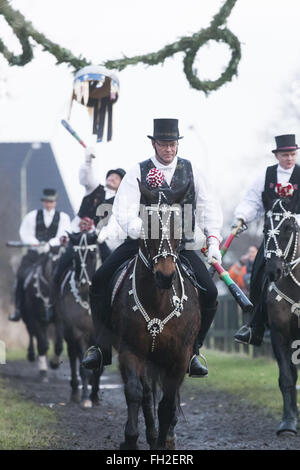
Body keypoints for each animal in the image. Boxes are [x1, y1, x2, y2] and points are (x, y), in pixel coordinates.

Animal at [109, 182, 200, 450]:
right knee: (146, 394)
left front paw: (161, 443)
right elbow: (135, 392)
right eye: (147, 225)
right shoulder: (131, 351)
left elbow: (167, 405)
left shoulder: (179, 357)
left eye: (179, 224)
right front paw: (131, 439)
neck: (158, 302)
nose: (165, 275)